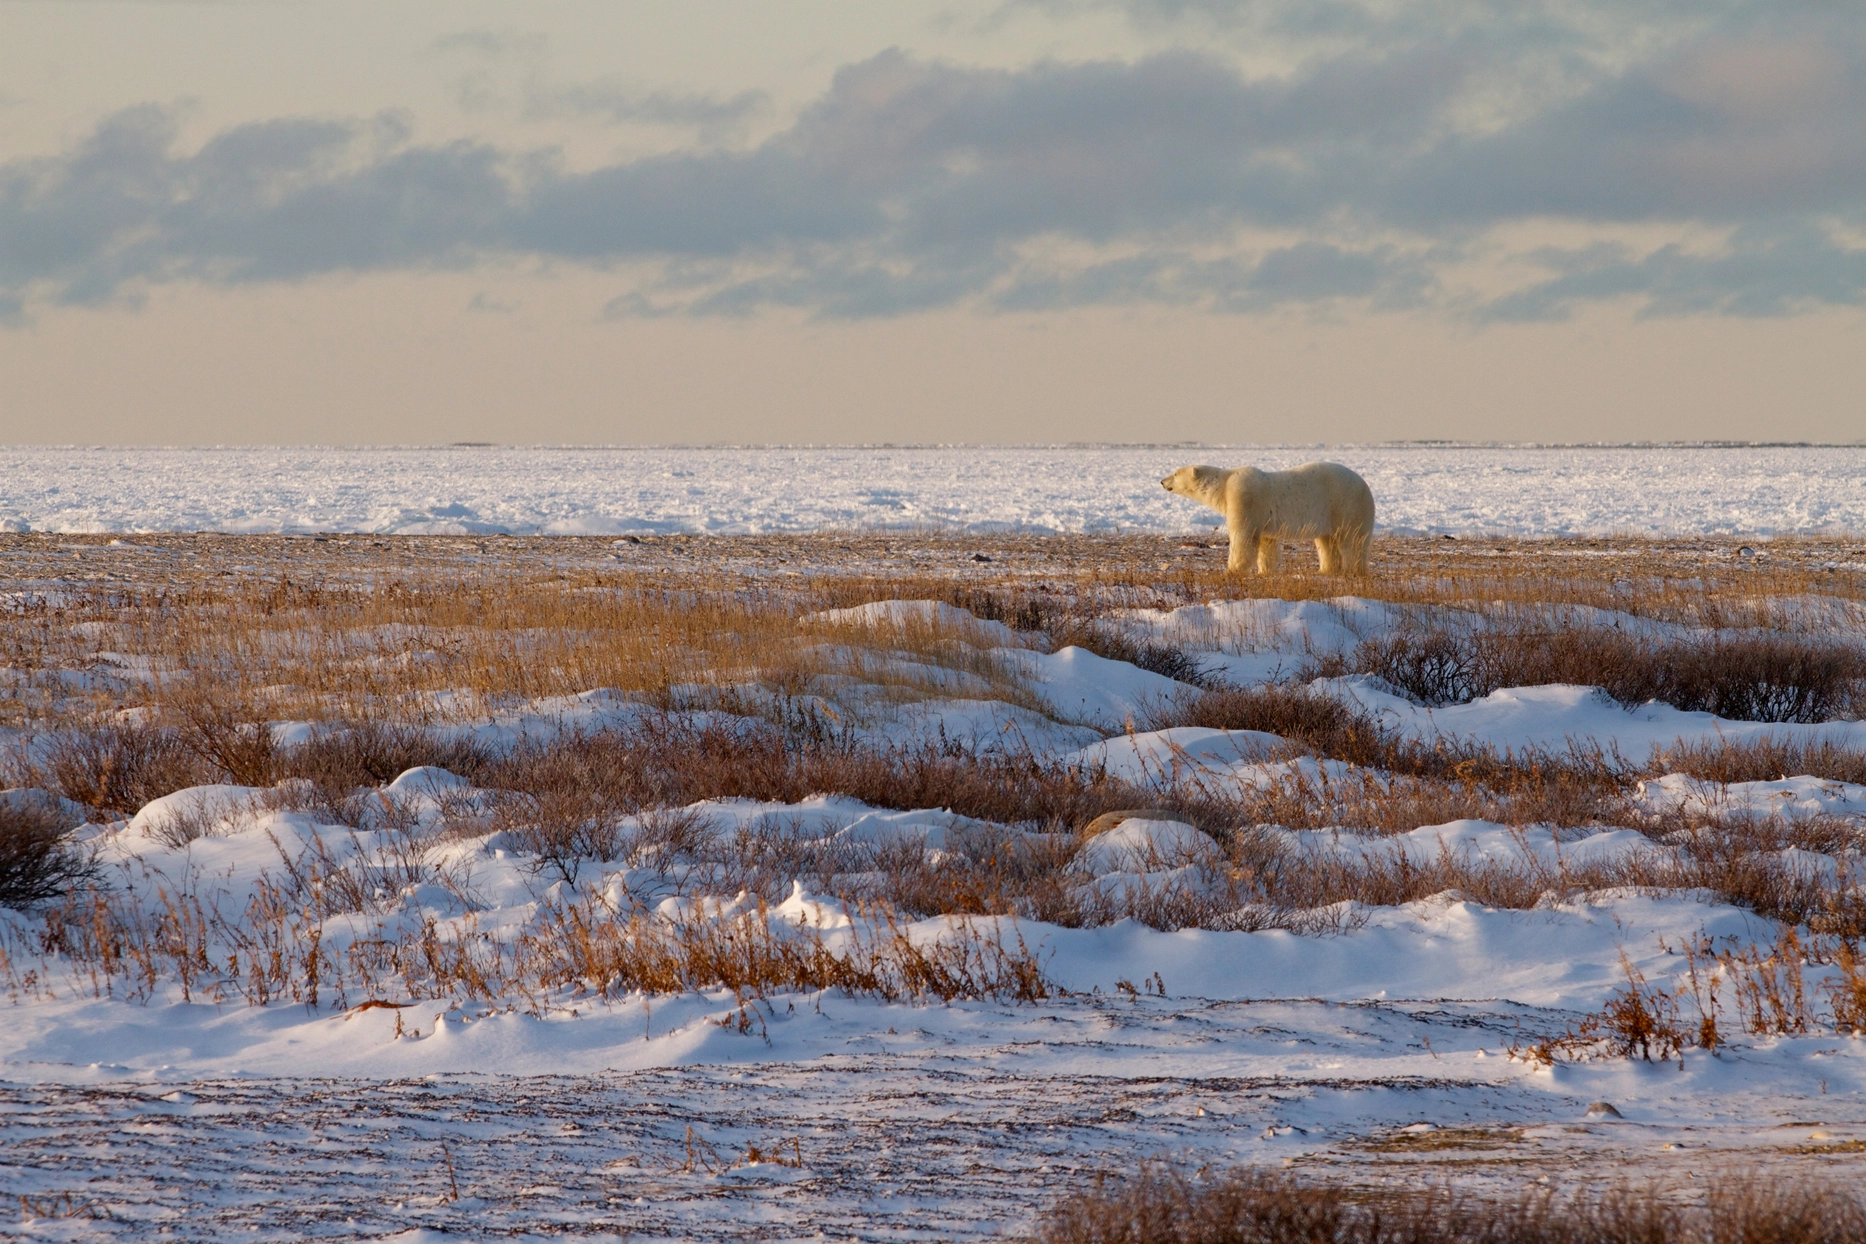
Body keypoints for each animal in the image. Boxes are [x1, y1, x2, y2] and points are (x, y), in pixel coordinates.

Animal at [1156, 462, 1380, 578]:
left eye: (1175, 473)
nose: (1161, 481)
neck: (1224, 485)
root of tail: (1366, 485)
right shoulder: (1265, 521)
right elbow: (1268, 543)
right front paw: (1265, 571)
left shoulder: (1244, 498)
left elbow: (1243, 537)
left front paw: (1232, 570)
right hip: (1329, 514)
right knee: (1326, 541)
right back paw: (1327, 569)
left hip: (1347, 505)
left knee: (1353, 540)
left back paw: (1355, 569)